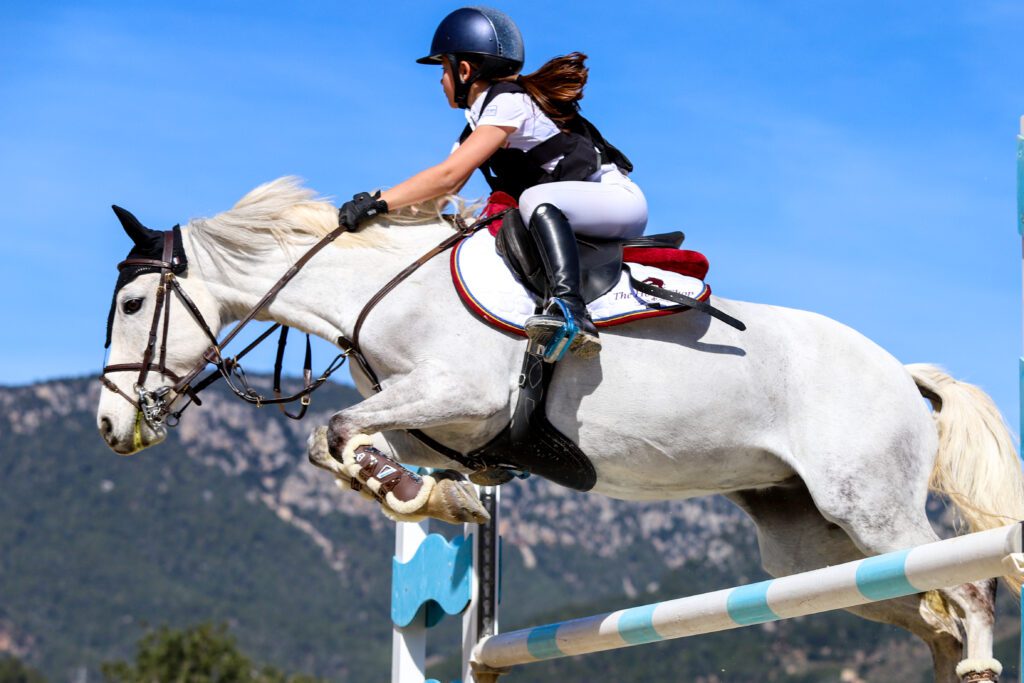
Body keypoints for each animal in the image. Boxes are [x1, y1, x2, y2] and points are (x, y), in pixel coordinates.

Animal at [96, 178, 1024, 683]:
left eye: (135, 304)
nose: (109, 425)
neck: (383, 289)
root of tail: (901, 371)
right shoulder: (435, 423)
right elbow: (349, 445)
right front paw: (438, 500)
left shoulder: (456, 389)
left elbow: (333, 432)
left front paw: (420, 495)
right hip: (808, 546)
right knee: (931, 610)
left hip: (868, 504)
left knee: (970, 588)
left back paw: (979, 659)